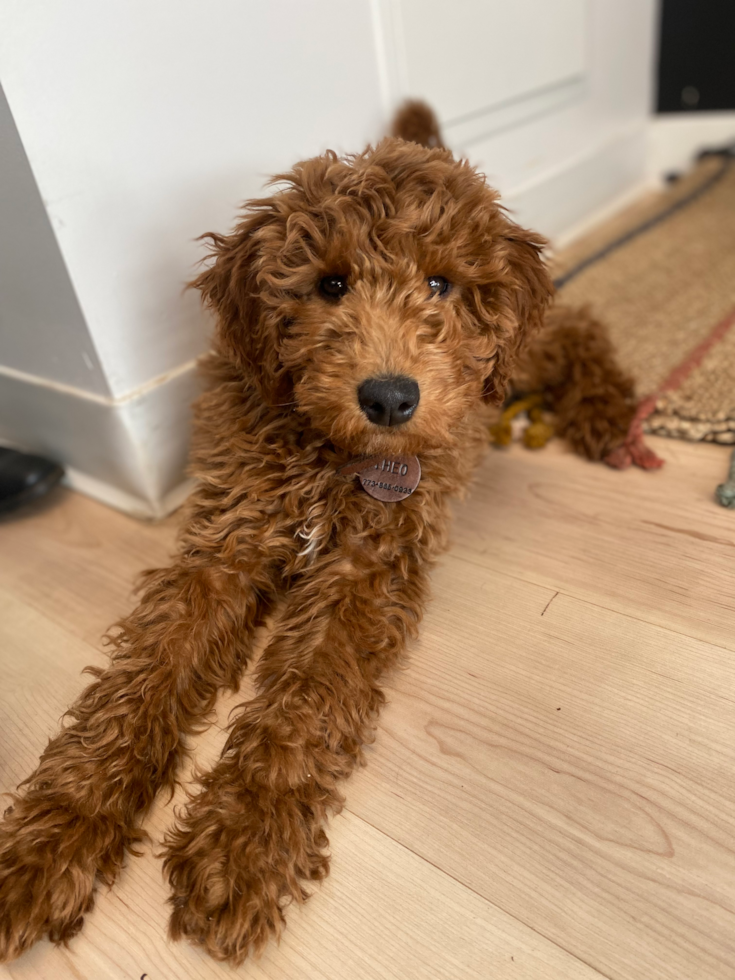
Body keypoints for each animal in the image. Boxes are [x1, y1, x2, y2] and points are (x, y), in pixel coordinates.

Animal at [0, 126, 632, 960]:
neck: (327, 458)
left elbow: (306, 701)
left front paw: (242, 848)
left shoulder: (364, 569)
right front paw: (50, 840)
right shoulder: (225, 547)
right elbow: (139, 685)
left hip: (512, 357)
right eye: (330, 285)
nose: (390, 397)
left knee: (575, 327)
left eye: (439, 284)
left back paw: (605, 411)